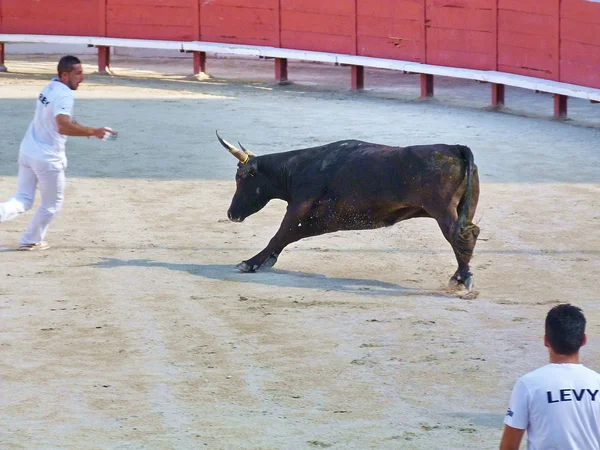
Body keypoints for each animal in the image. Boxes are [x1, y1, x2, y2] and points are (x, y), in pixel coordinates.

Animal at [214, 133, 478, 292]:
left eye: (241, 178)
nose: (231, 213)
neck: (299, 168)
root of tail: (455, 148)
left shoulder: (298, 209)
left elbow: (279, 234)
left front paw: (250, 263)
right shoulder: (322, 220)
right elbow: (286, 236)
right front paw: (264, 260)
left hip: (443, 211)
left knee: (460, 236)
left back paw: (462, 279)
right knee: (465, 236)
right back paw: (460, 277)